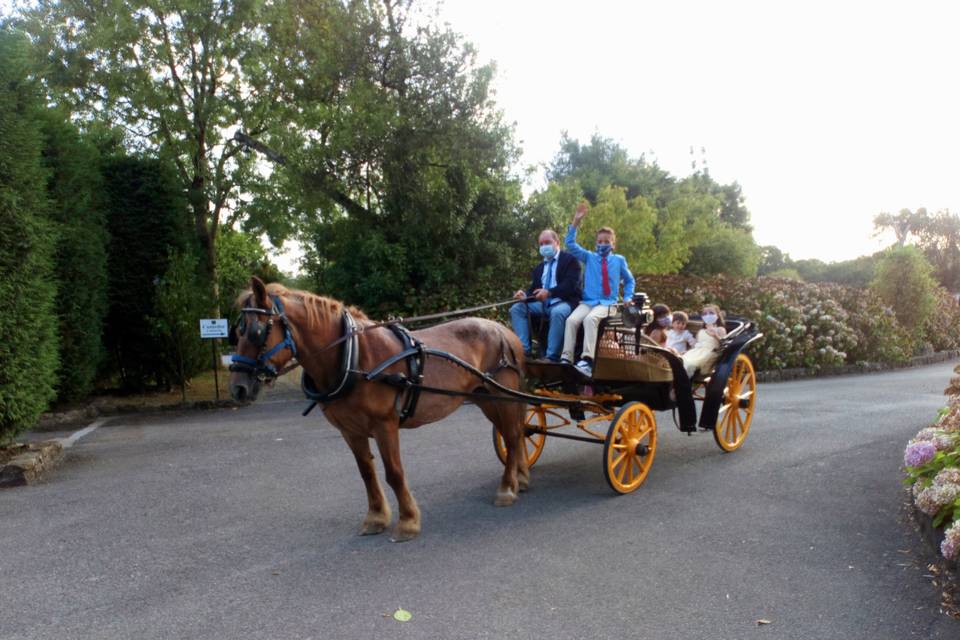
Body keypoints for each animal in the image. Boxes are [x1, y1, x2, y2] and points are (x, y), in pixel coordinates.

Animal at [229, 278, 528, 544]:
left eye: (256, 331)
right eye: (237, 332)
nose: (238, 389)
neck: (353, 357)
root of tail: (504, 331)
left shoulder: (385, 425)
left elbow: (394, 473)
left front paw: (408, 522)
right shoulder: (350, 430)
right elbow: (367, 473)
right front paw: (375, 517)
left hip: (503, 396)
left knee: (513, 436)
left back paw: (506, 489)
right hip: (485, 399)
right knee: (513, 433)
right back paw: (520, 478)